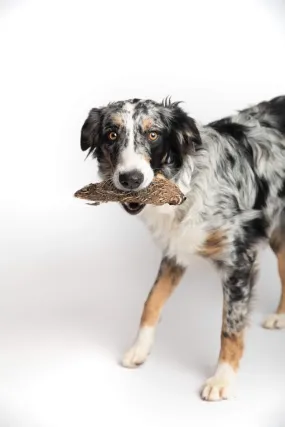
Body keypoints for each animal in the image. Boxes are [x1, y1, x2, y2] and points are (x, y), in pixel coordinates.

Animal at [79, 96, 284, 402]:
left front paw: (223, 378)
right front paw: (139, 349)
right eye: (111, 135)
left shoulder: (238, 261)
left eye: (153, 135)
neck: (185, 186)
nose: (131, 179)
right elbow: (151, 302)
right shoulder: (175, 251)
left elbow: (230, 327)